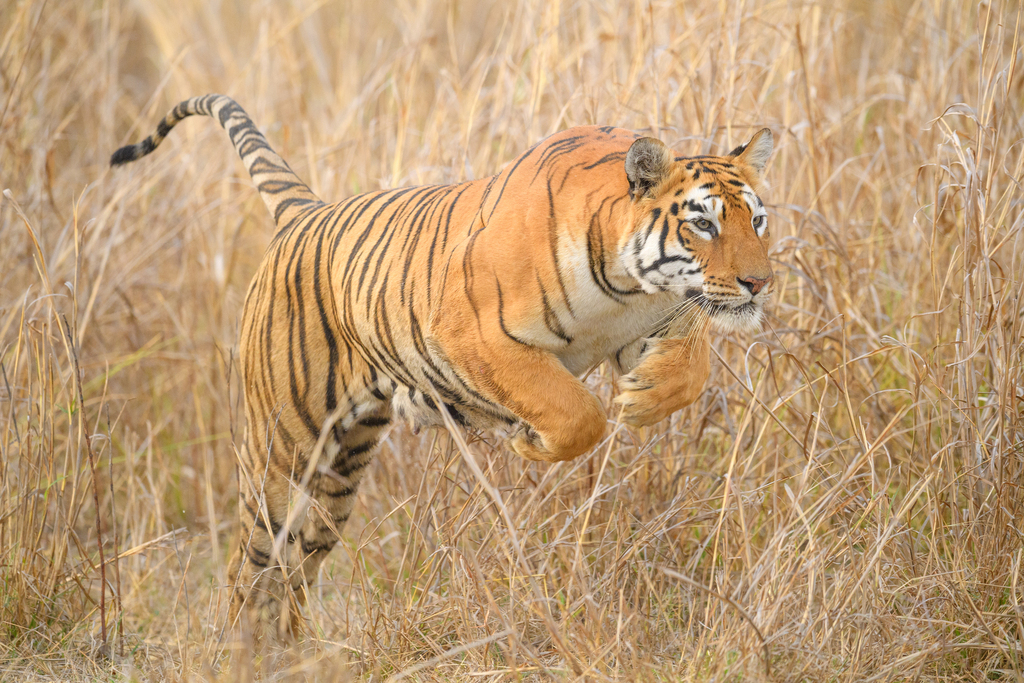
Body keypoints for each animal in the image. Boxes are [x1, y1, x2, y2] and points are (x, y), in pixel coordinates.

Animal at [110, 94, 775, 640]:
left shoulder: (663, 317)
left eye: (758, 220)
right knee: (250, 565)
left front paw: (642, 396)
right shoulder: (470, 335)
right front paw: (533, 443)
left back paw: (291, 654)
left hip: (339, 474)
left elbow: (693, 370)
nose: (759, 283)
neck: (627, 288)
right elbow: (573, 409)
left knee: (296, 571)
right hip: (283, 451)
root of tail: (305, 212)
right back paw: (238, 652)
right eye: (703, 223)